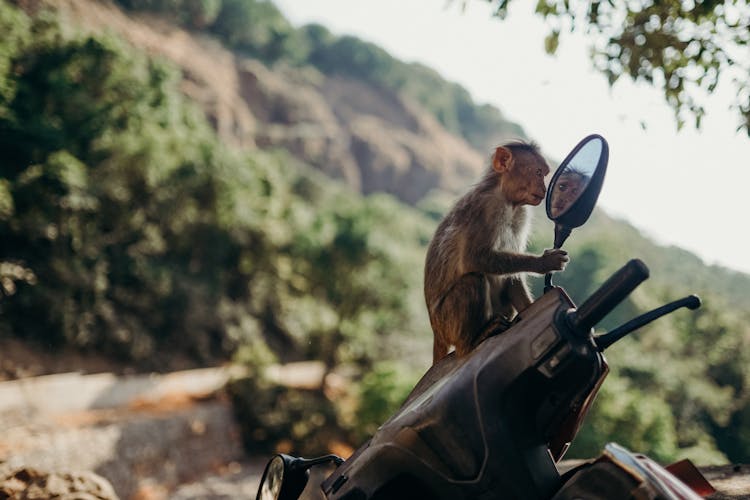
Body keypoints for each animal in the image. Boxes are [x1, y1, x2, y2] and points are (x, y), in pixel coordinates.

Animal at [424, 141, 568, 364]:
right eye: (537, 172)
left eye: (543, 174)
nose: (544, 189)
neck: (508, 201)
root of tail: (436, 332)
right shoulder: (485, 207)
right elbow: (474, 258)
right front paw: (544, 263)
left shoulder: (522, 214)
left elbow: (512, 277)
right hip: (447, 323)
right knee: (473, 281)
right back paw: (470, 343)